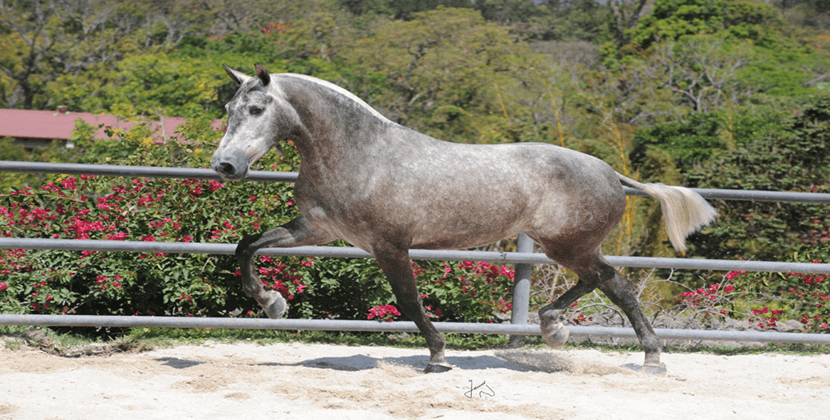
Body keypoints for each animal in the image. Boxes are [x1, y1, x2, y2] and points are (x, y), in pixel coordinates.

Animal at [211, 64, 717, 373]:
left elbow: (409, 302)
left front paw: (438, 356)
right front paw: (272, 302)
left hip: (568, 246)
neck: (361, 156)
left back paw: (589, 337)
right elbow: (246, 246)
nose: (225, 166)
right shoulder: (316, 230)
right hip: (570, 246)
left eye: (256, 109)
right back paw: (604, 343)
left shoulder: (389, 245)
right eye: (229, 109)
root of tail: (611, 172)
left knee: (610, 283)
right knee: (614, 285)